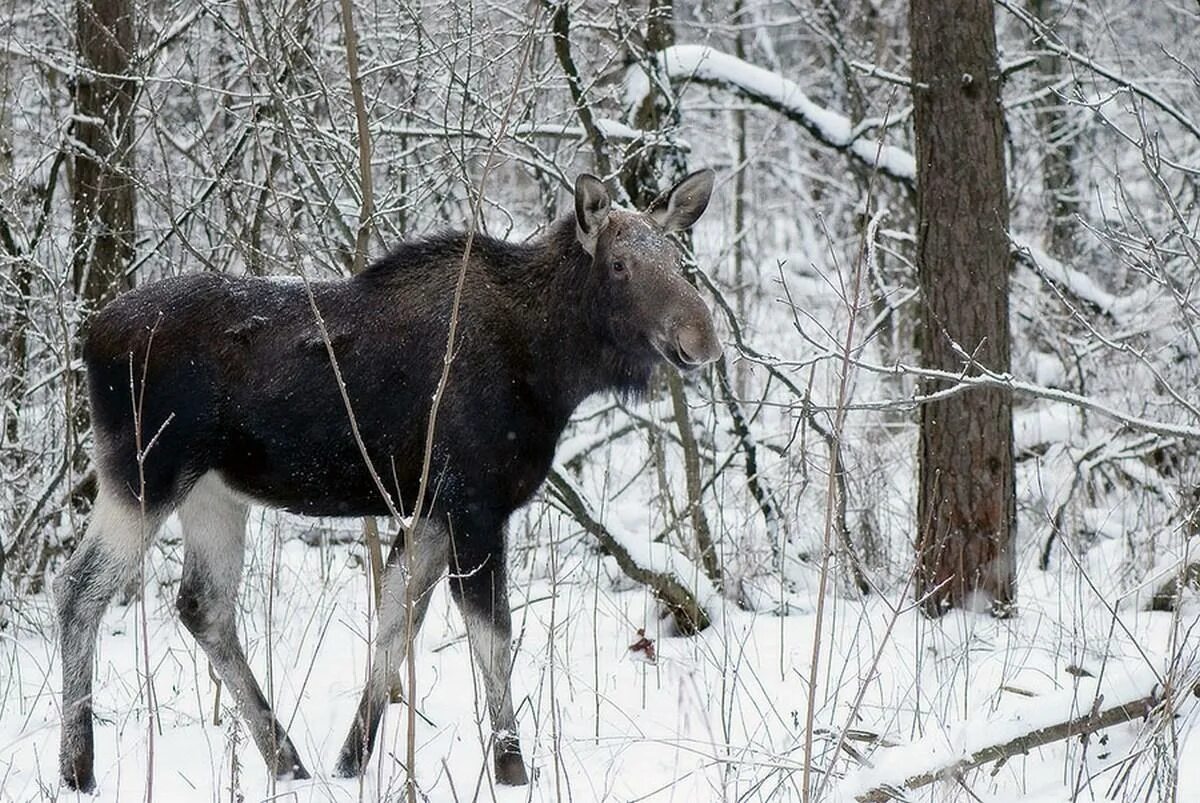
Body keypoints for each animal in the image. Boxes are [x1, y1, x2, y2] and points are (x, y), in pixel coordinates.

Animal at [54, 169, 720, 787]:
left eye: (678, 258)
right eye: (618, 264)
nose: (702, 338)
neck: (551, 367)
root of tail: (89, 336)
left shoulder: (430, 510)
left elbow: (397, 624)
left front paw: (352, 760)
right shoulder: (475, 506)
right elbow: (493, 636)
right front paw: (511, 768)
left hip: (213, 492)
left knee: (202, 604)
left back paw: (285, 757)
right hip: (143, 473)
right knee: (78, 588)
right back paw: (78, 767)